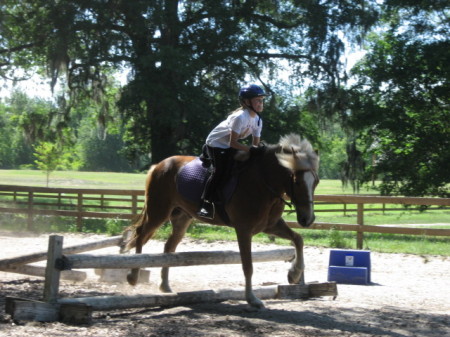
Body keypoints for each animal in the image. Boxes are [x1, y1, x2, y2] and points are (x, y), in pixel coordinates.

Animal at [122, 133, 320, 308]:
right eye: (297, 182)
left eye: (316, 182)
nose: (307, 219)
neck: (263, 181)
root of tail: (158, 165)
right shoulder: (243, 229)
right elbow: (248, 266)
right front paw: (252, 299)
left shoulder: (270, 225)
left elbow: (298, 239)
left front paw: (294, 274)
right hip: (158, 211)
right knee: (140, 235)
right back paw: (133, 276)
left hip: (182, 218)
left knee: (169, 247)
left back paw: (165, 286)